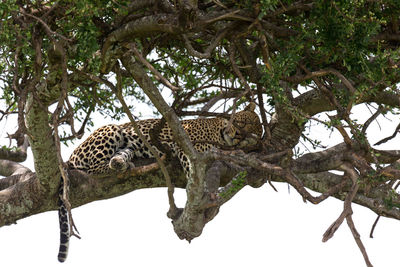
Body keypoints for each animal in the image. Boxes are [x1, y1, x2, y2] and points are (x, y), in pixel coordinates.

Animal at [56, 103, 262, 264]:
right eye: (242, 123)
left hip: (126, 146)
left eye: (250, 135)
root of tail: (70, 157)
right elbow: (193, 167)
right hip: (112, 129)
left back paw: (122, 163)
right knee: (93, 167)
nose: (237, 136)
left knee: (117, 156)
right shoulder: (188, 146)